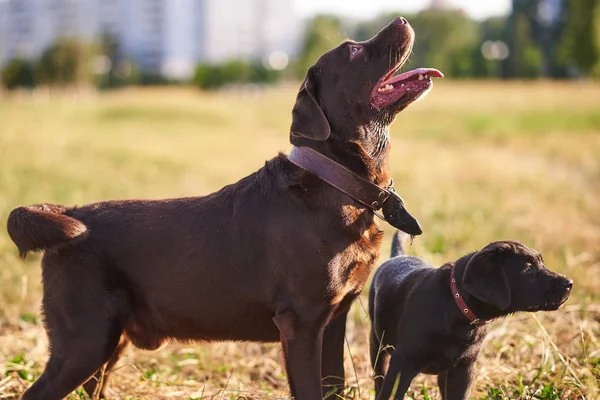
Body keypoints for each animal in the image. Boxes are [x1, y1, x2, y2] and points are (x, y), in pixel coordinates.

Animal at [5, 16, 440, 400]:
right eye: (353, 50)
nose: (402, 19)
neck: (334, 182)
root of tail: (71, 211)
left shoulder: (334, 321)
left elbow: (334, 385)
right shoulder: (301, 322)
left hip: (108, 342)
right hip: (85, 341)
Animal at [370, 231, 572, 400]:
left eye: (541, 263)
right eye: (528, 268)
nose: (569, 283)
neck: (458, 309)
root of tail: (398, 256)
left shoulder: (463, 369)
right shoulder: (402, 363)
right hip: (378, 346)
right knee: (379, 377)